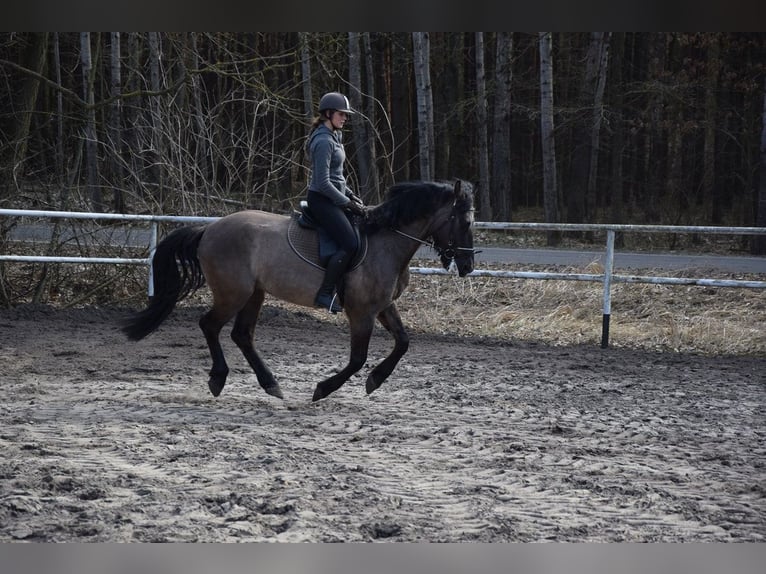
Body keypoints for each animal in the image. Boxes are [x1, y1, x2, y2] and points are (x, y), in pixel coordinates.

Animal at [121, 179, 476, 402]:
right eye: (465, 221)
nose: (468, 265)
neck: (385, 242)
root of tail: (209, 229)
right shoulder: (361, 312)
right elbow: (357, 358)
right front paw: (324, 389)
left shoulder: (384, 306)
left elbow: (402, 343)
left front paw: (375, 381)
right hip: (233, 293)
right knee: (209, 325)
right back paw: (218, 379)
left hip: (254, 294)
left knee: (241, 335)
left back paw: (271, 384)